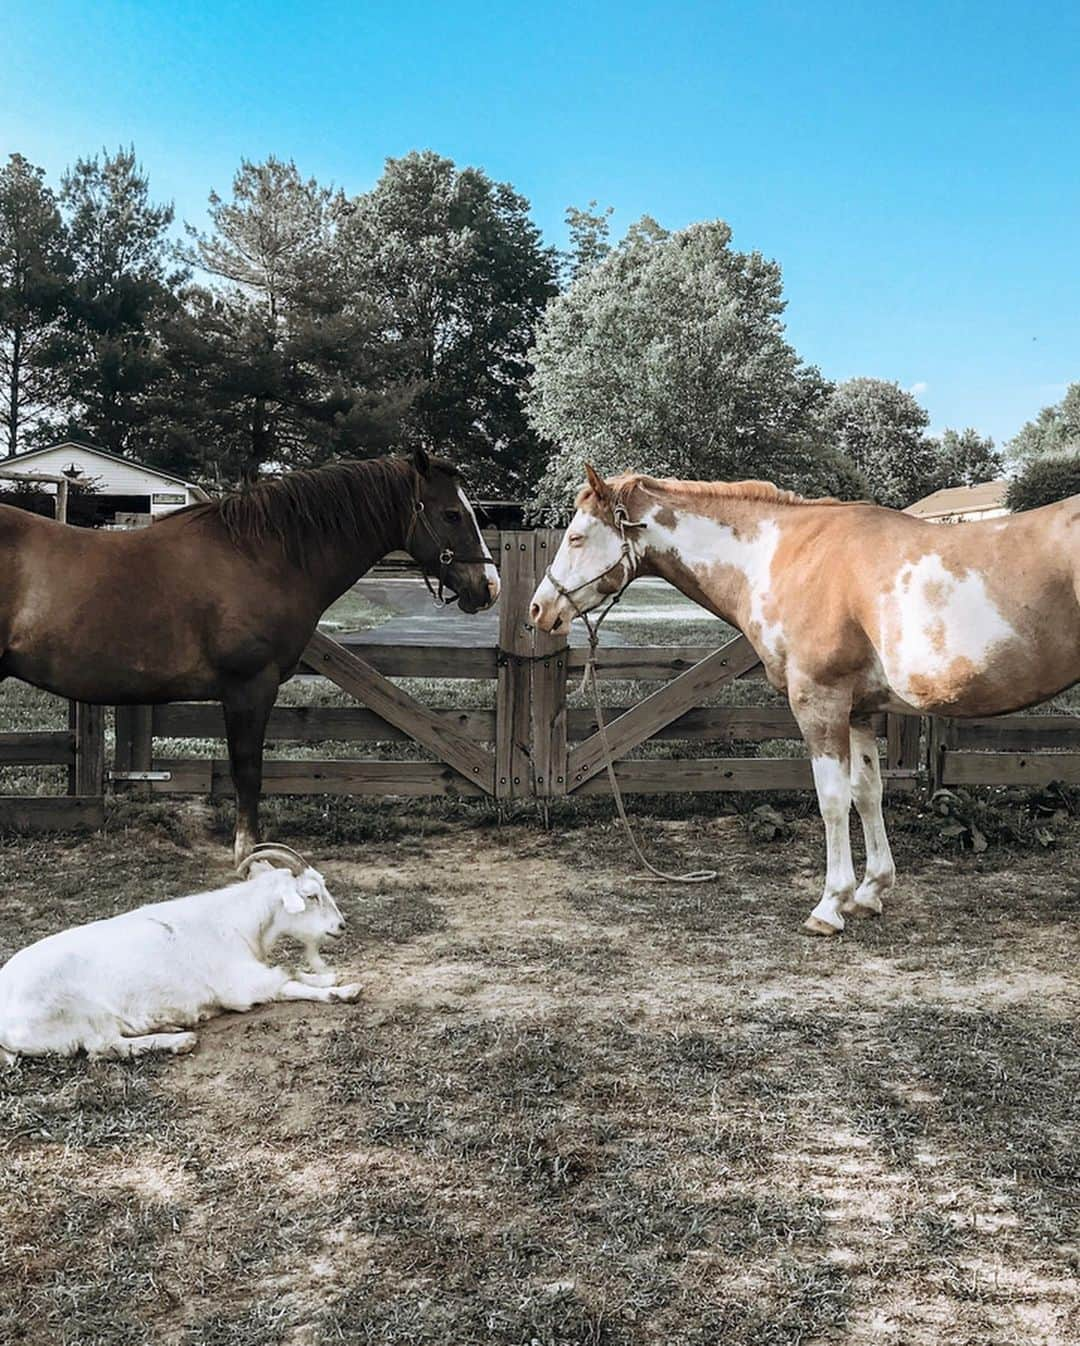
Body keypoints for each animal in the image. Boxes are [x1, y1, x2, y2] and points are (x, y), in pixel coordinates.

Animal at [0, 446, 495, 856]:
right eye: (452, 514)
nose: (488, 586)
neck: (260, 556)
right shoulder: (249, 687)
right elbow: (247, 771)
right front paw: (248, 852)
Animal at [0, 839, 360, 1060]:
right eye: (311, 895)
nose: (341, 926)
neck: (236, 921)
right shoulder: (239, 988)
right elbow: (287, 981)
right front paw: (344, 991)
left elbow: (291, 970)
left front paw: (330, 978)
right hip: (80, 1012)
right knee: (103, 1048)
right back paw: (179, 1040)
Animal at [527, 468, 1077, 942]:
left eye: (577, 538)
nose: (539, 609)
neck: (787, 556)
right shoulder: (858, 711)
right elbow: (867, 793)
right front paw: (870, 891)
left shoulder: (819, 701)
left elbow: (831, 800)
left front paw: (830, 905)